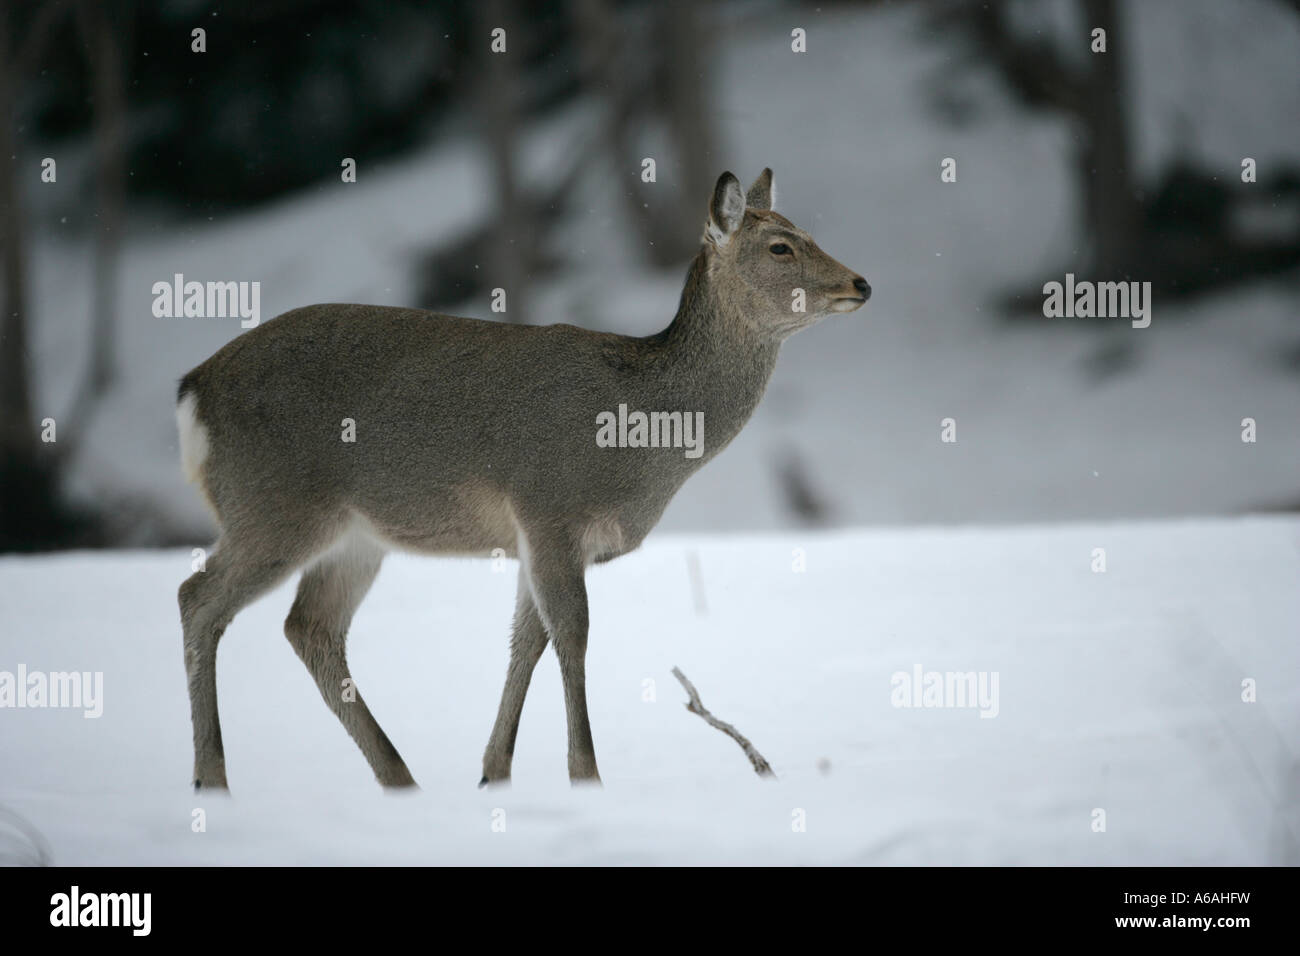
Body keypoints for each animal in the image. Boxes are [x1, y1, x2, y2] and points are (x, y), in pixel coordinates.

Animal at [170, 167, 863, 790]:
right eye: (780, 246)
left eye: (803, 231)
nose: (861, 282)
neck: (641, 444)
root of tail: (192, 390)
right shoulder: (549, 506)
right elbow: (573, 635)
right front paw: (586, 776)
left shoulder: (538, 538)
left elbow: (526, 642)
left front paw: (493, 774)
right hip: (275, 504)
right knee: (197, 597)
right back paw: (212, 779)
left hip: (354, 535)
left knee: (309, 627)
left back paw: (399, 778)